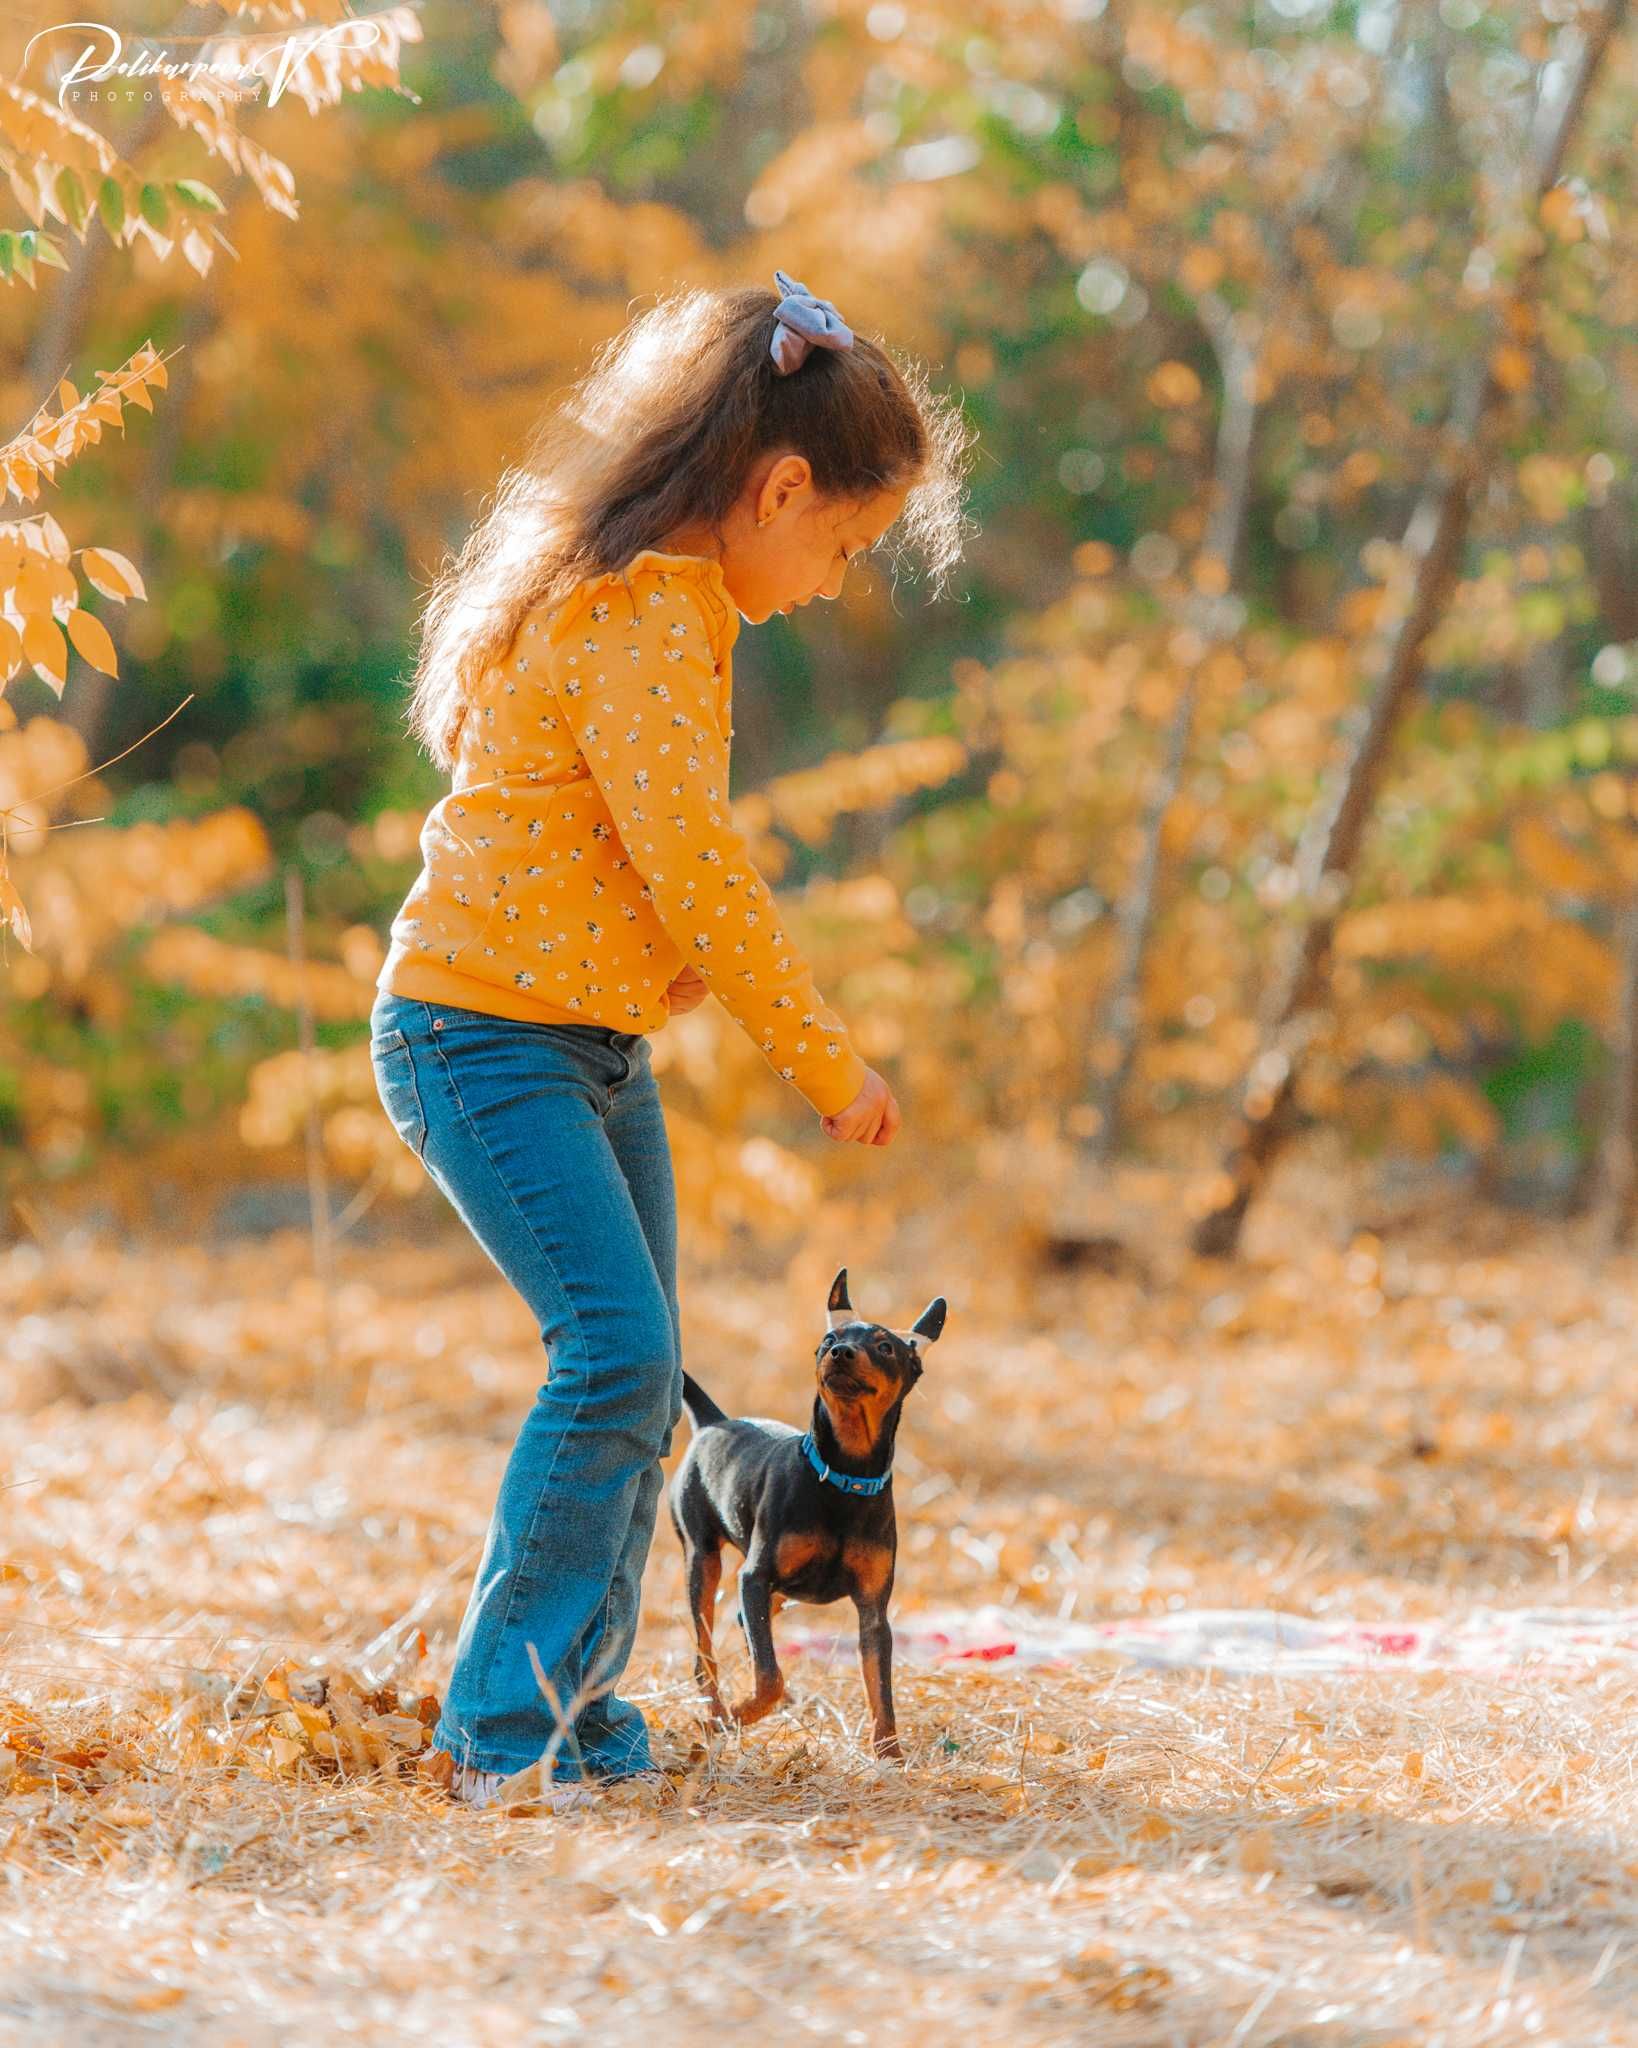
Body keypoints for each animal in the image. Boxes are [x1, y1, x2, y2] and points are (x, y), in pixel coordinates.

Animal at [663, 1261, 945, 1761]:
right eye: (829, 1340)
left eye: (885, 1346)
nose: (841, 1353)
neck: (843, 1475)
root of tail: (715, 1422)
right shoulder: (754, 1578)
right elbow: (769, 1676)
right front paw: (741, 1714)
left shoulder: (873, 1612)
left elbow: (881, 1690)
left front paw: (890, 1755)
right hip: (703, 1559)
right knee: (706, 1655)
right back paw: (716, 1713)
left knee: (746, 1624)